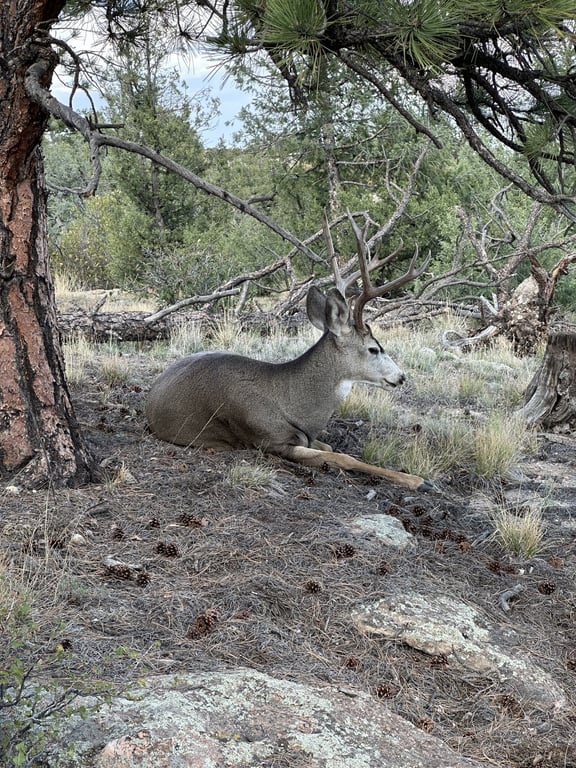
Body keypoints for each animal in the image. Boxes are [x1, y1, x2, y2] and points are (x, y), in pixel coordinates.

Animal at [146, 212, 433, 491]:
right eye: (374, 348)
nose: (401, 377)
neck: (292, 403)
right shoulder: (270, 440)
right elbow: (343, 457)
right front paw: (418, 481)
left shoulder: (304, 437)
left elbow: (330, 446)